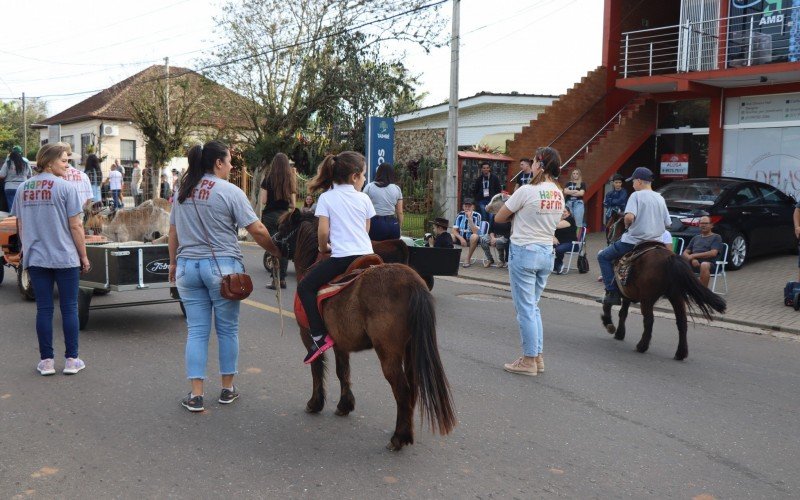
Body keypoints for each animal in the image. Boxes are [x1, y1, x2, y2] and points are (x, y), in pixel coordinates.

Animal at [276, 209, 456, 452]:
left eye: (284, 227)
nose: (273, 240)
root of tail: (413, 284)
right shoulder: (340, 342)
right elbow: (342, 371)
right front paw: (345, 404)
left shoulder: (307, 336)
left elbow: (317, 367)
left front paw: (315, 403)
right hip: (411, 349)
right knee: (412, 389)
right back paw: (406, 432)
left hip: (388, 353)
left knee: (402, 390)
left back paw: (398, 437)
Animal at [600, 215, 724, 360]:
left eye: (609, 226)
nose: (608, 238)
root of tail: (670, 258)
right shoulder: (626, 294)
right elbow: (623, 313)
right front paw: (620, 333)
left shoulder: (616, 290)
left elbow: (608, 305)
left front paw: (608, 323)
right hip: (676, 297)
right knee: (682, 322)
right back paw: (681, 353)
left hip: (647, 299)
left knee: (649, 320)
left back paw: (642, 346)